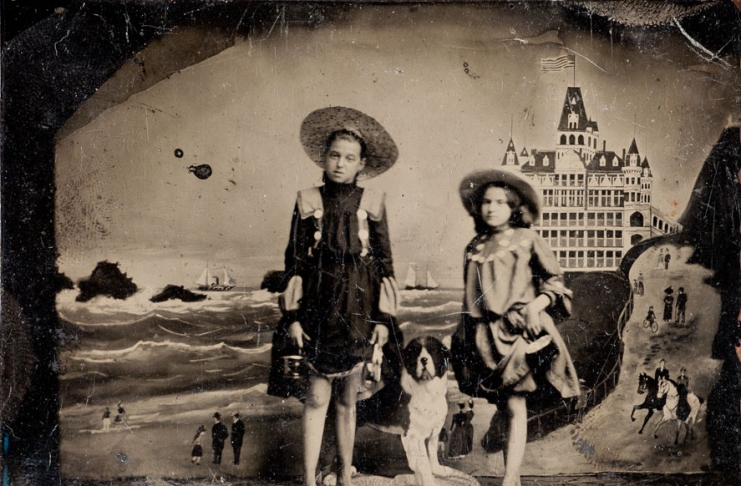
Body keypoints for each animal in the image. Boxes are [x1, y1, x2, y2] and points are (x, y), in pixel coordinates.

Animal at [354, 336, 448, 486]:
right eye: (415, 352)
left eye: (432, 350)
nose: (424, 359)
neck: (427, 391)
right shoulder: (414, 436)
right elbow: (423, 463)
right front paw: (428, 480)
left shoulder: (434, 433)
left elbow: (432, 453)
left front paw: (437, 469)